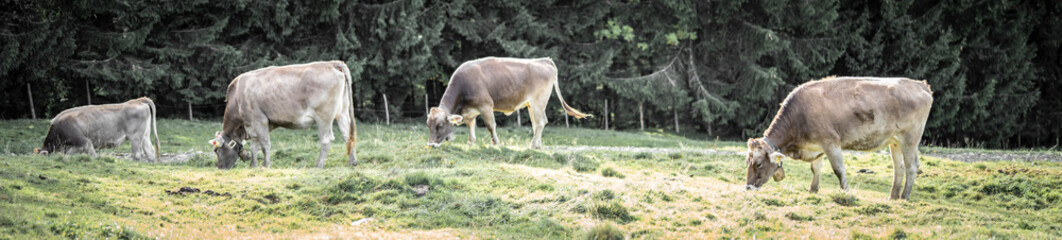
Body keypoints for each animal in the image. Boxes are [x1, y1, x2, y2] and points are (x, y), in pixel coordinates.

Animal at [209, 60, 358, 168]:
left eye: (216, 151)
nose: (220, 168)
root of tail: (331, 63)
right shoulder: (251, 125)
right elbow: (254, 147)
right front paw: (253, 166)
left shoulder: (259, 121)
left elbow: (265, 145)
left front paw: (266, 165)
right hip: (342, 113)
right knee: (347, 136)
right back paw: (353, 162)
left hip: (324, 116)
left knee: (327, 139)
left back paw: (319, 165)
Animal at [422, 57, 590, 147]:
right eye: (428, 125)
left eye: (440, 125)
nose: (431, 145)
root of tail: (543, 60)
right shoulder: (470, 111)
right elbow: (470, 125)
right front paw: (470, 143)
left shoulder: (486, 106)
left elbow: (490, 125)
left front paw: (495, 143)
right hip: (531, 105)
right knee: (537, 123)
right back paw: (538, 144)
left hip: (538, 101)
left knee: (541, 121)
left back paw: (533, 145)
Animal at [743, 75, 934, 199]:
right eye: (747, 161)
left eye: (758, 164)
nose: (748, 187)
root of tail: (919, 84)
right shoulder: (816, 146)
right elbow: (815, 168)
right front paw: (813, 190)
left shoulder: (830, 142)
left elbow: (838, 169)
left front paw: (846, 192)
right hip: (895, 142)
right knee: (899, 168)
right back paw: (893, 196)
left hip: (910, 139)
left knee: (911, 166)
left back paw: (904, 196)